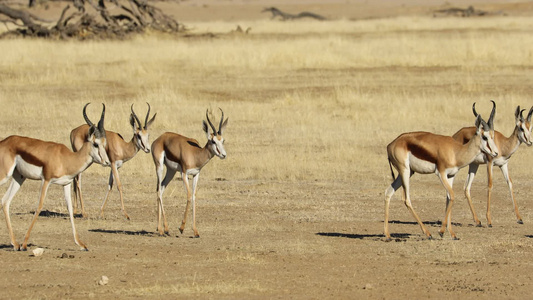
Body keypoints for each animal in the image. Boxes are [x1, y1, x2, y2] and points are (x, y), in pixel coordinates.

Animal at [0, 103, 108, 251]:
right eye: (95, 144)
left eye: (105, 143)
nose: (106, 162)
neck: (66, 159)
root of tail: (3, 142)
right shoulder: (46, 180)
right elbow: (39, 206)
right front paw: (25, 244)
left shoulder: (66, 184)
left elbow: (70, 209)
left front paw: (81, 244)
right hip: (5, 175)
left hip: (19, 177)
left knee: (5, 201)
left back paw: (15, 244)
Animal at [153, 109, 228, 238]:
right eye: (213, 141)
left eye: (222, 140)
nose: (223, 155)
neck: (195, 154)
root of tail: (159, 138)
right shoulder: (184, 174)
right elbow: (188, 195)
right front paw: (181, 228)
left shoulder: (196, 174)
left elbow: (193, 196)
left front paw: (196, 231)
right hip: (160, 167)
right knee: (158, 190)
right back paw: (164, 229)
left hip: (171, 171)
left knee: (161, 189)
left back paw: (161, 229)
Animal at [384, 104, 496, 240]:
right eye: (485, 137)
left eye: (493, 136)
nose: (495, 153)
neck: (455, 151)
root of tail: (390, 145)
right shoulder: (441, 174)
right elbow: (452, 196)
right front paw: (441, 231)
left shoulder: (451, 175)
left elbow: (448, 198)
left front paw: (452, 234)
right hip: (405, 171)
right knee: (406, 199)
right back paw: (427, 233)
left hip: (407, 173)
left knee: (388, 192)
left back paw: (387, 235)